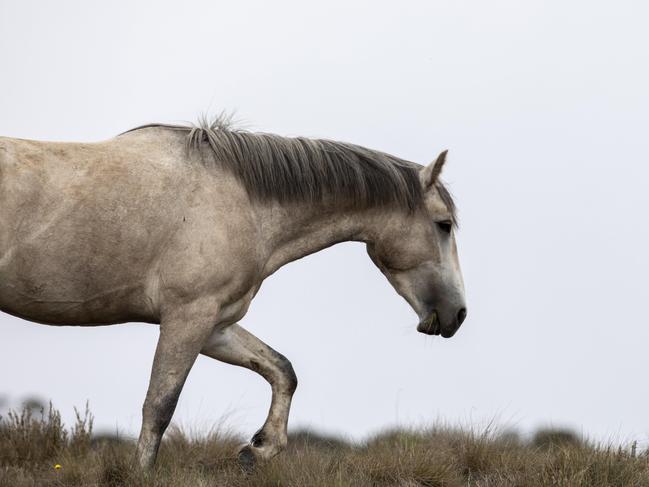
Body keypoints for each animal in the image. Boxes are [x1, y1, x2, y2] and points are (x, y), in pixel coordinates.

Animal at [0, 116, 466, 470]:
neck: (243, 202)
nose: (458, 313)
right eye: (443, 225)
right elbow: (159, 407)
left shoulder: (216, 325)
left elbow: (281, 370)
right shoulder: (187, 317)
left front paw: (258, 450)